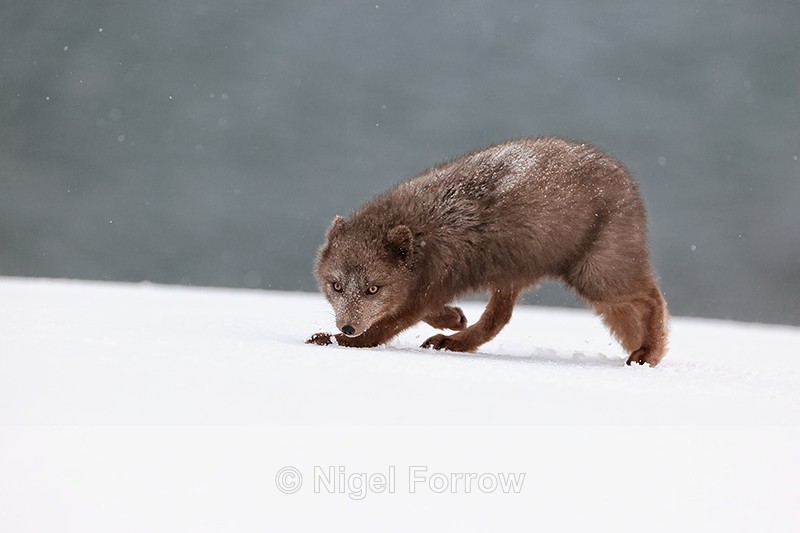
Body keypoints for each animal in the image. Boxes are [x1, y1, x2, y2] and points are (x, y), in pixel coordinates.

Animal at [306, 137, 669, 366]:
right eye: (336, 286)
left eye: (372, 289)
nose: (347, 326)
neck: (422, 236)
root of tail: (625, 178)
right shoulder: (429, 288)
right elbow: (422, 312)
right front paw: (451, 318)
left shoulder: (427, 287)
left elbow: (378, 332)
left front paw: (332, 341)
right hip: (516, 273)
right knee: (498, 319)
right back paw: (454, 342)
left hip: (597, 278)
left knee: (654, 297)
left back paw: (648, 353)